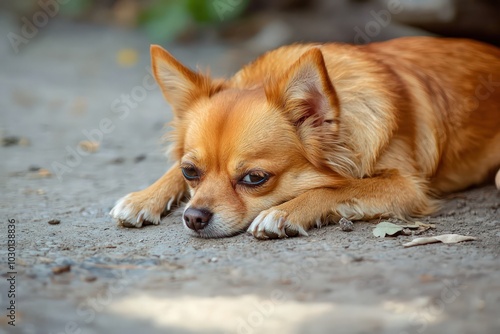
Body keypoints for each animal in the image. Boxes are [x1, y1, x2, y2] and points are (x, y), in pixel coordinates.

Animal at [110, 37, 500, 237]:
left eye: (255, 179)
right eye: (190, 171)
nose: (193, 217)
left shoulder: (406, 187)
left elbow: (337, 188)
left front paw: (286, 212)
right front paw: (144, 197)